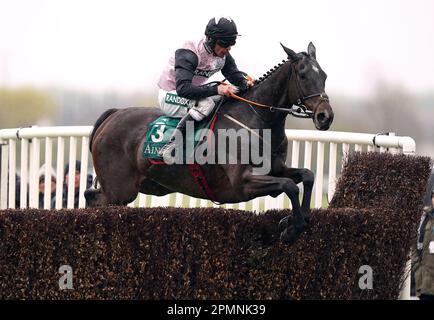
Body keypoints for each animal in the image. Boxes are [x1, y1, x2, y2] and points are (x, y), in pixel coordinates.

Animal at [85, 42, 336, 242]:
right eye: (302, 74)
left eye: (324, 75)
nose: (325, 116)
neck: (256, 119)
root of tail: (113, 114)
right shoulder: (241, 184)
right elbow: (289, 186)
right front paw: (292, 228)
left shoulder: (275, 168)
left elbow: (306, 176)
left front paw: (296, 219)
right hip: (119, 190)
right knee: (94, 200)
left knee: (91, 196)